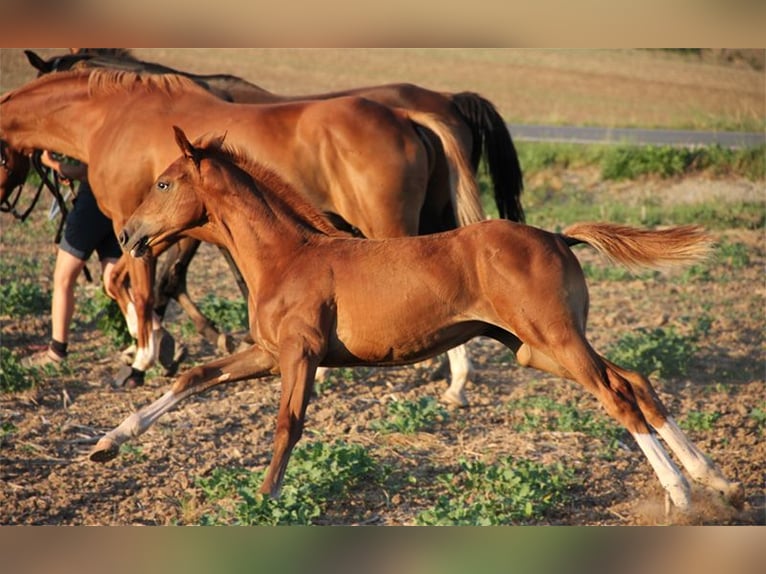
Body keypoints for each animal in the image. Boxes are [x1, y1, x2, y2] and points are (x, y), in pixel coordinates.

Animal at [1, 70, 486, 396]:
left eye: (3, 157)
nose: (4, 201)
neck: (114, 118)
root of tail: (407, 116)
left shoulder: (130, 222)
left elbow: (141, 287)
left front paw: (141, 359)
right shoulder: (161, 231)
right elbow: (130, 281)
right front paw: (158, 348)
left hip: (388, 226)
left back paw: (455, 379)